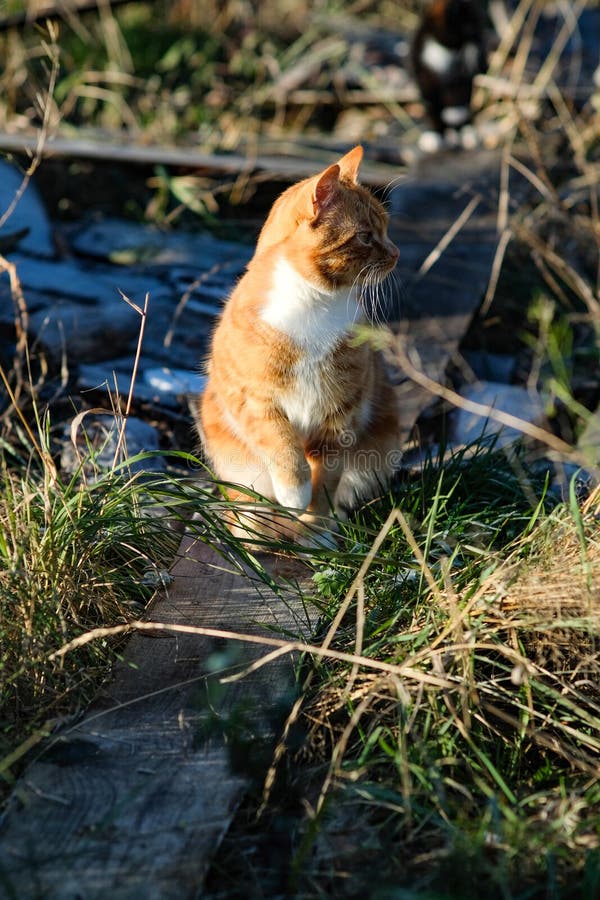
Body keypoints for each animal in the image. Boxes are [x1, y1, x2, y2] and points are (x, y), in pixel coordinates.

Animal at [199, 144, 400, 544]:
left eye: (386, 229)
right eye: (365, 237)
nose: (396, 253)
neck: (313, 304)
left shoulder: (341, 414)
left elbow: (326, 481)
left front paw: (315, 532)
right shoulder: (253, 398)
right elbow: (282, 445)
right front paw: (294, 492)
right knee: (247, 500)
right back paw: (252, 529)